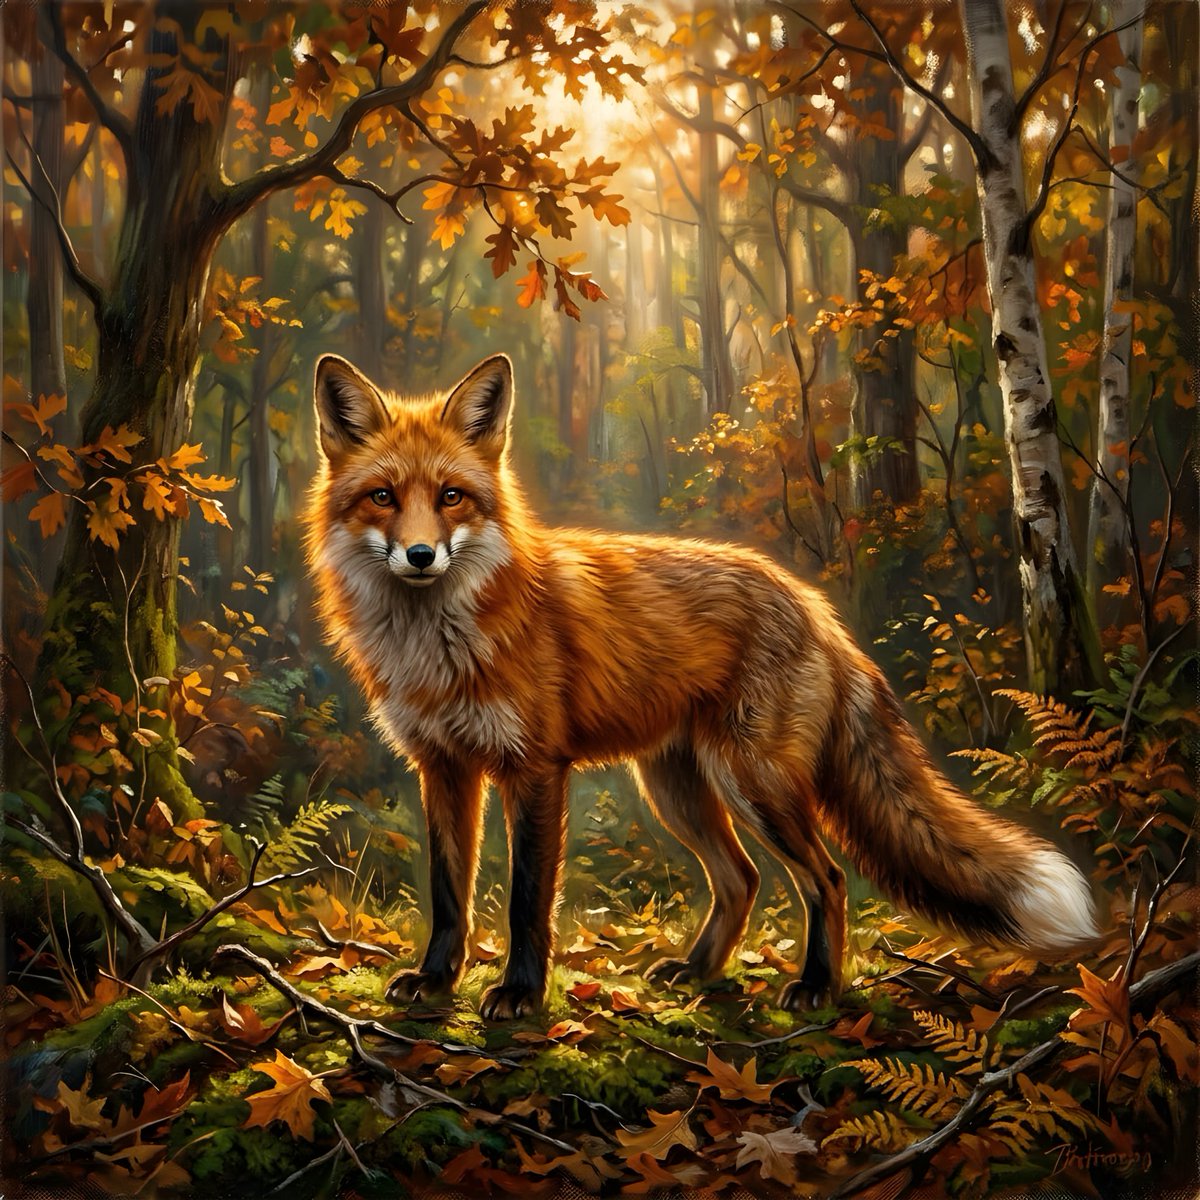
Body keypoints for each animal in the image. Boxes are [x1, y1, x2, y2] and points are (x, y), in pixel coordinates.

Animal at [304, 352, 1099, 1021]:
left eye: (451, 496)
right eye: (382, 496)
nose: (419, 555)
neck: (438, 647)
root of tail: (814, 605)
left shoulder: (534, 768)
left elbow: (528, 899)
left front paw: (522, 994)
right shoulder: (441, 766)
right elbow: (448, 894)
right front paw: (436, 980)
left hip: (754, 783)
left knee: (826, 879)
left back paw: (816, 986)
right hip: (678, 787)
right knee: (742, 879)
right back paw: (698, 972)